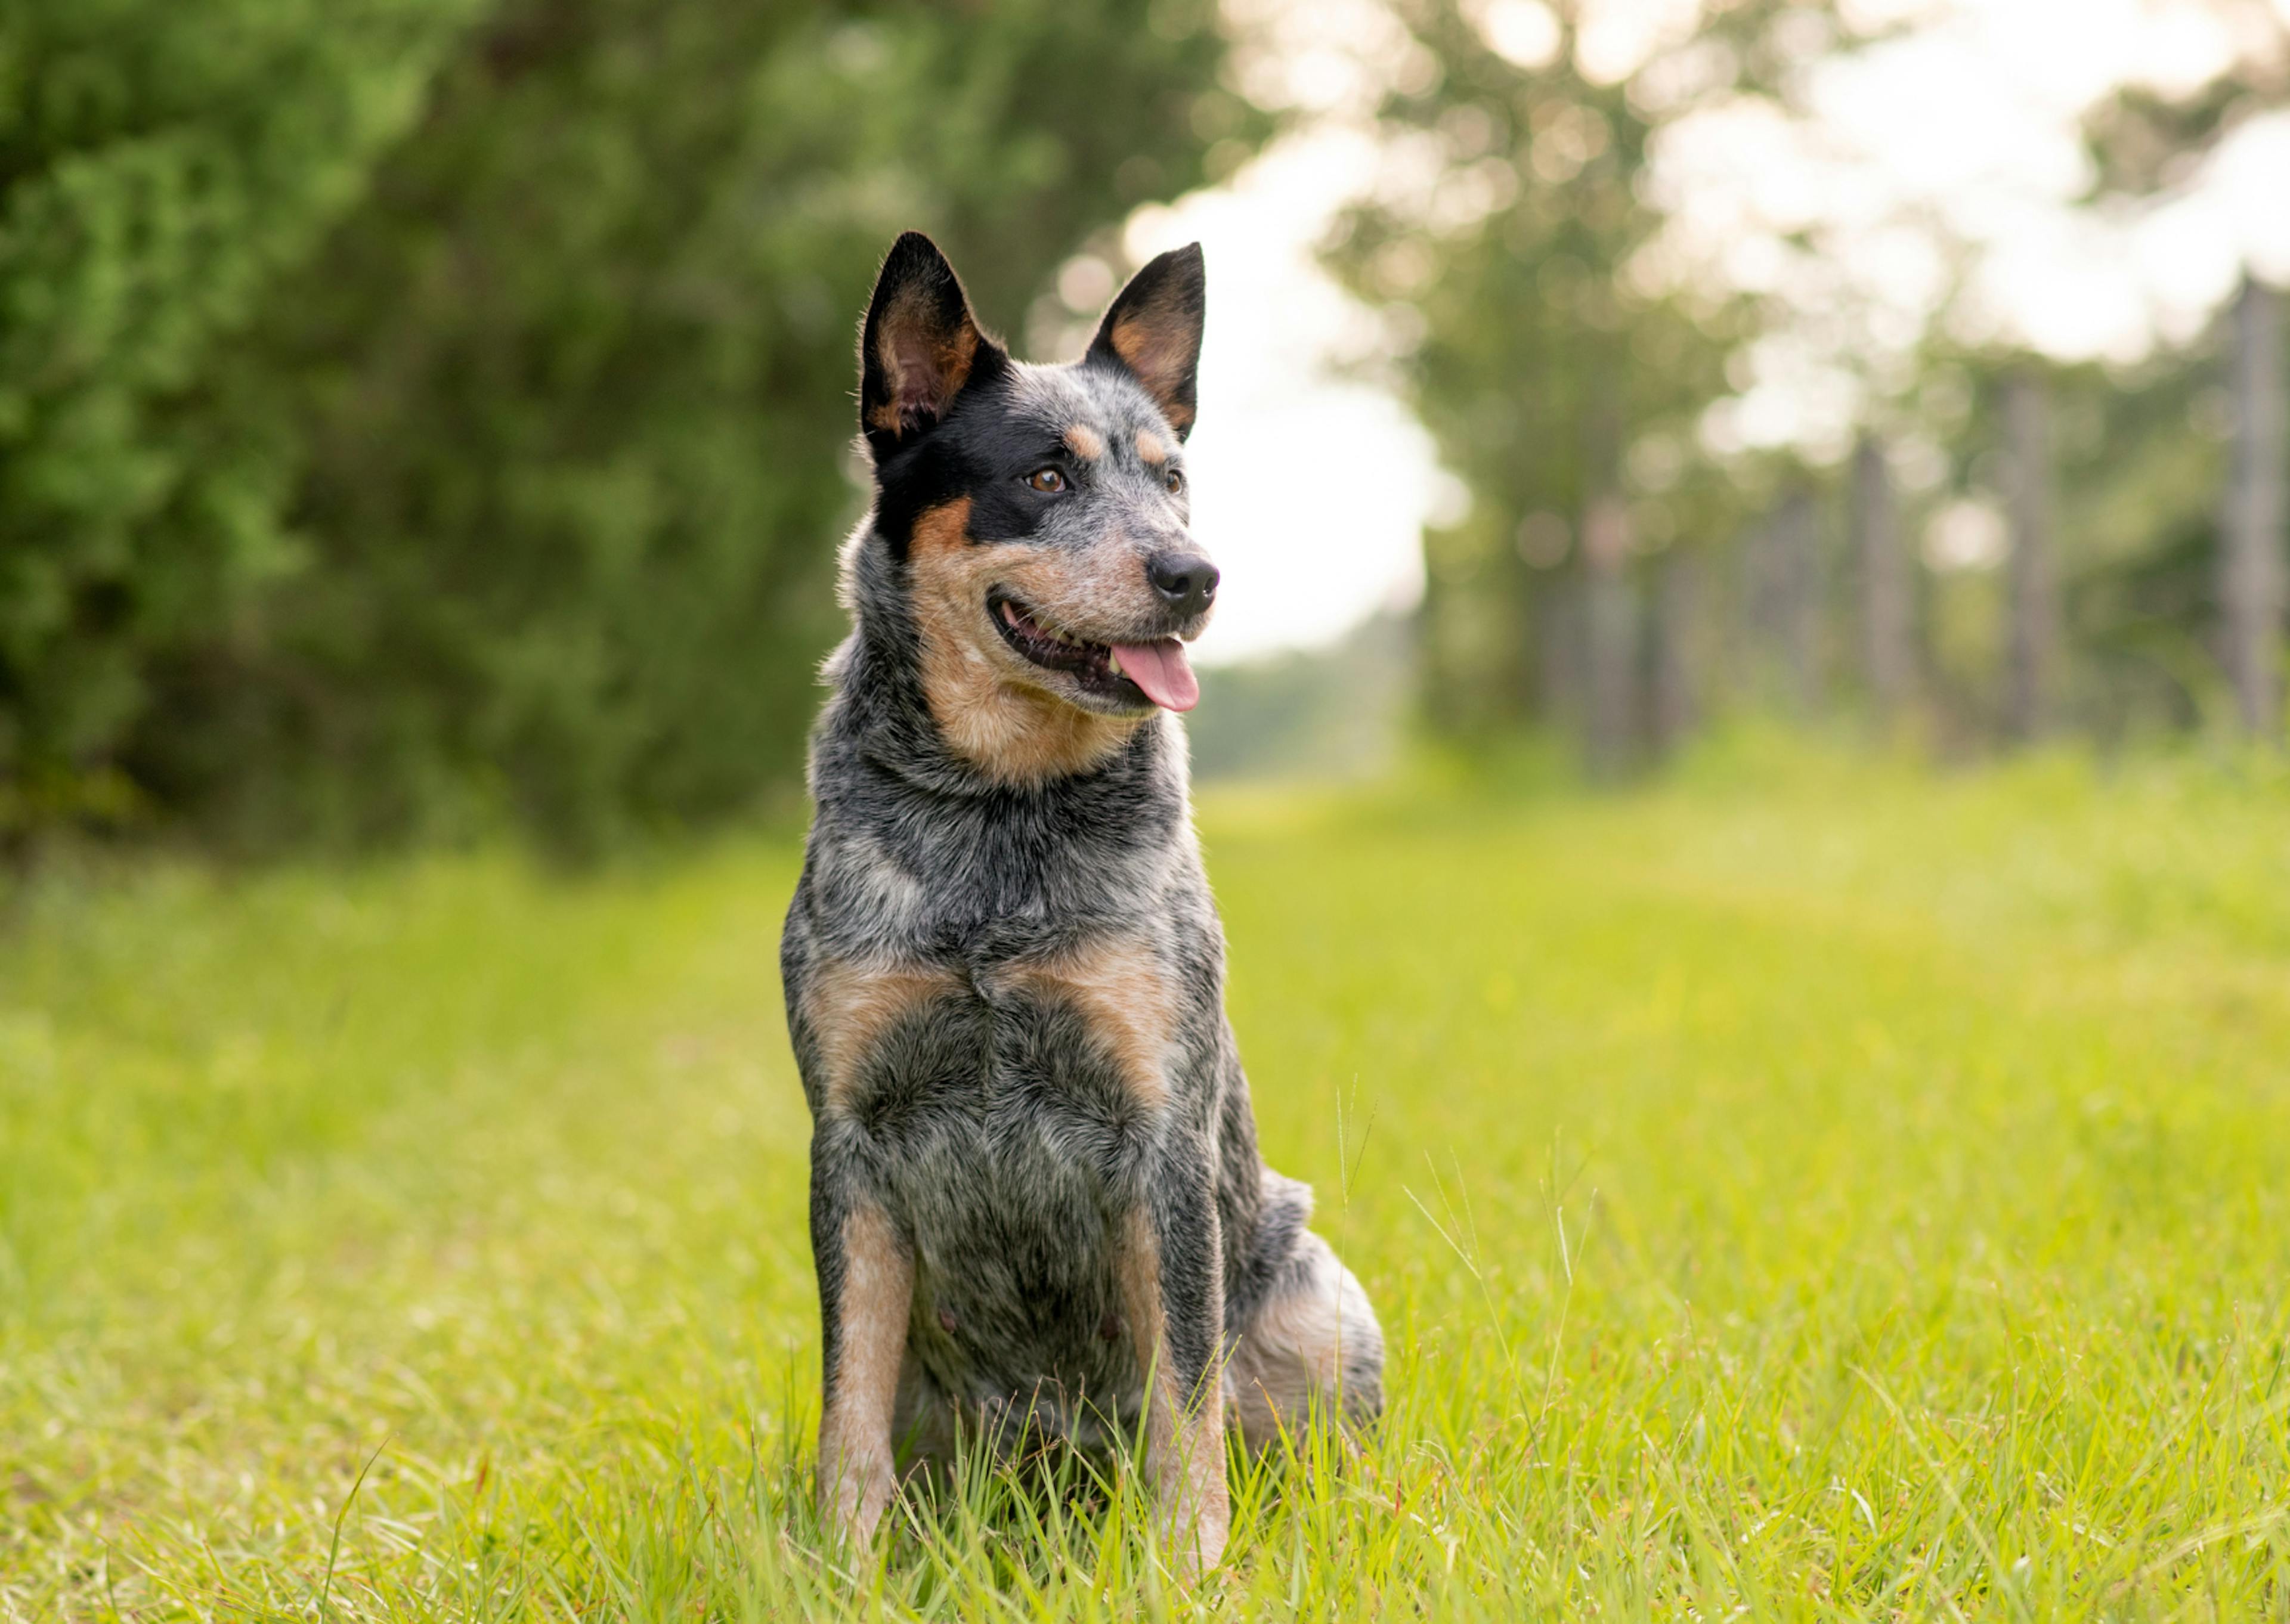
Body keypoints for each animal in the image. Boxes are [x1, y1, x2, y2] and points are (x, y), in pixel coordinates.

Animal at [778, 231, 1383, 1566]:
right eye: (1047, 475)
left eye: (1173, 479)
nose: (1195, 573)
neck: (999, 818)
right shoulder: (850, 1142)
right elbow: (851, 1403)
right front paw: (844, 1565)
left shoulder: (1159, 1136)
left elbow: (1185, 1395)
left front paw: (1191, 1564)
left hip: (1318, 1280)